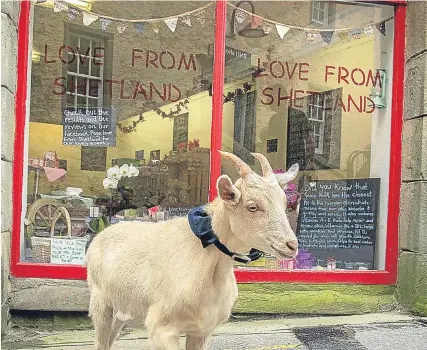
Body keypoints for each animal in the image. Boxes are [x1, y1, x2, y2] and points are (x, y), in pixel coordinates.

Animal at [85, 152, 300, 350]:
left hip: (119, 313)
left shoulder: (201, 330)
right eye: (252, 206)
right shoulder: (162, 328)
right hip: (101, 306)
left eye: (284, 202)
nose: (291, 245)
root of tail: (102, 234)